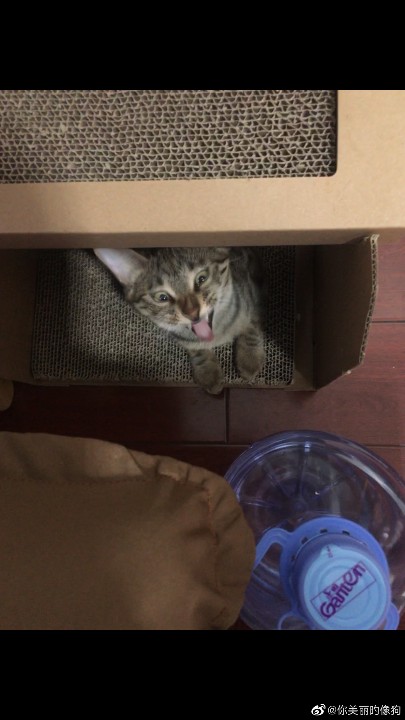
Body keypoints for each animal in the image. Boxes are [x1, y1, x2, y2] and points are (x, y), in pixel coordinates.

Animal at [94, 247, 265, 394]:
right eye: (162, 297)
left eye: (202, 278)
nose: (192, 313)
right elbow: (195, 347)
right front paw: (208, 371)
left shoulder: (253, 294)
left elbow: (252, 328)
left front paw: (249, 358)